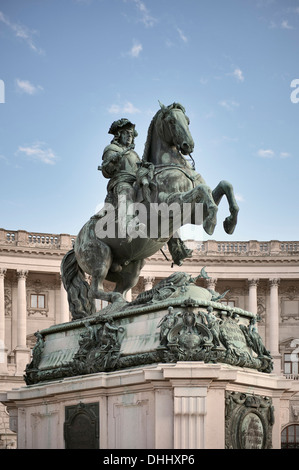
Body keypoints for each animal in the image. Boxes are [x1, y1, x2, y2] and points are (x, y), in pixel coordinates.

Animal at [61, 101, 239, 318]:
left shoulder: (195, 212)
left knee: (119, 290)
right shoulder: (169, 205)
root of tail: (75, 243)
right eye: (171, 121)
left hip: (131, 269)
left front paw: (229, 222)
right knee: (96, 289)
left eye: (187, 120)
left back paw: (125, 305)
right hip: (100, 257)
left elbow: (224, 185)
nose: (188, 146)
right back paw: (116, 302)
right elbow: (203, 190)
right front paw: (212, 222)